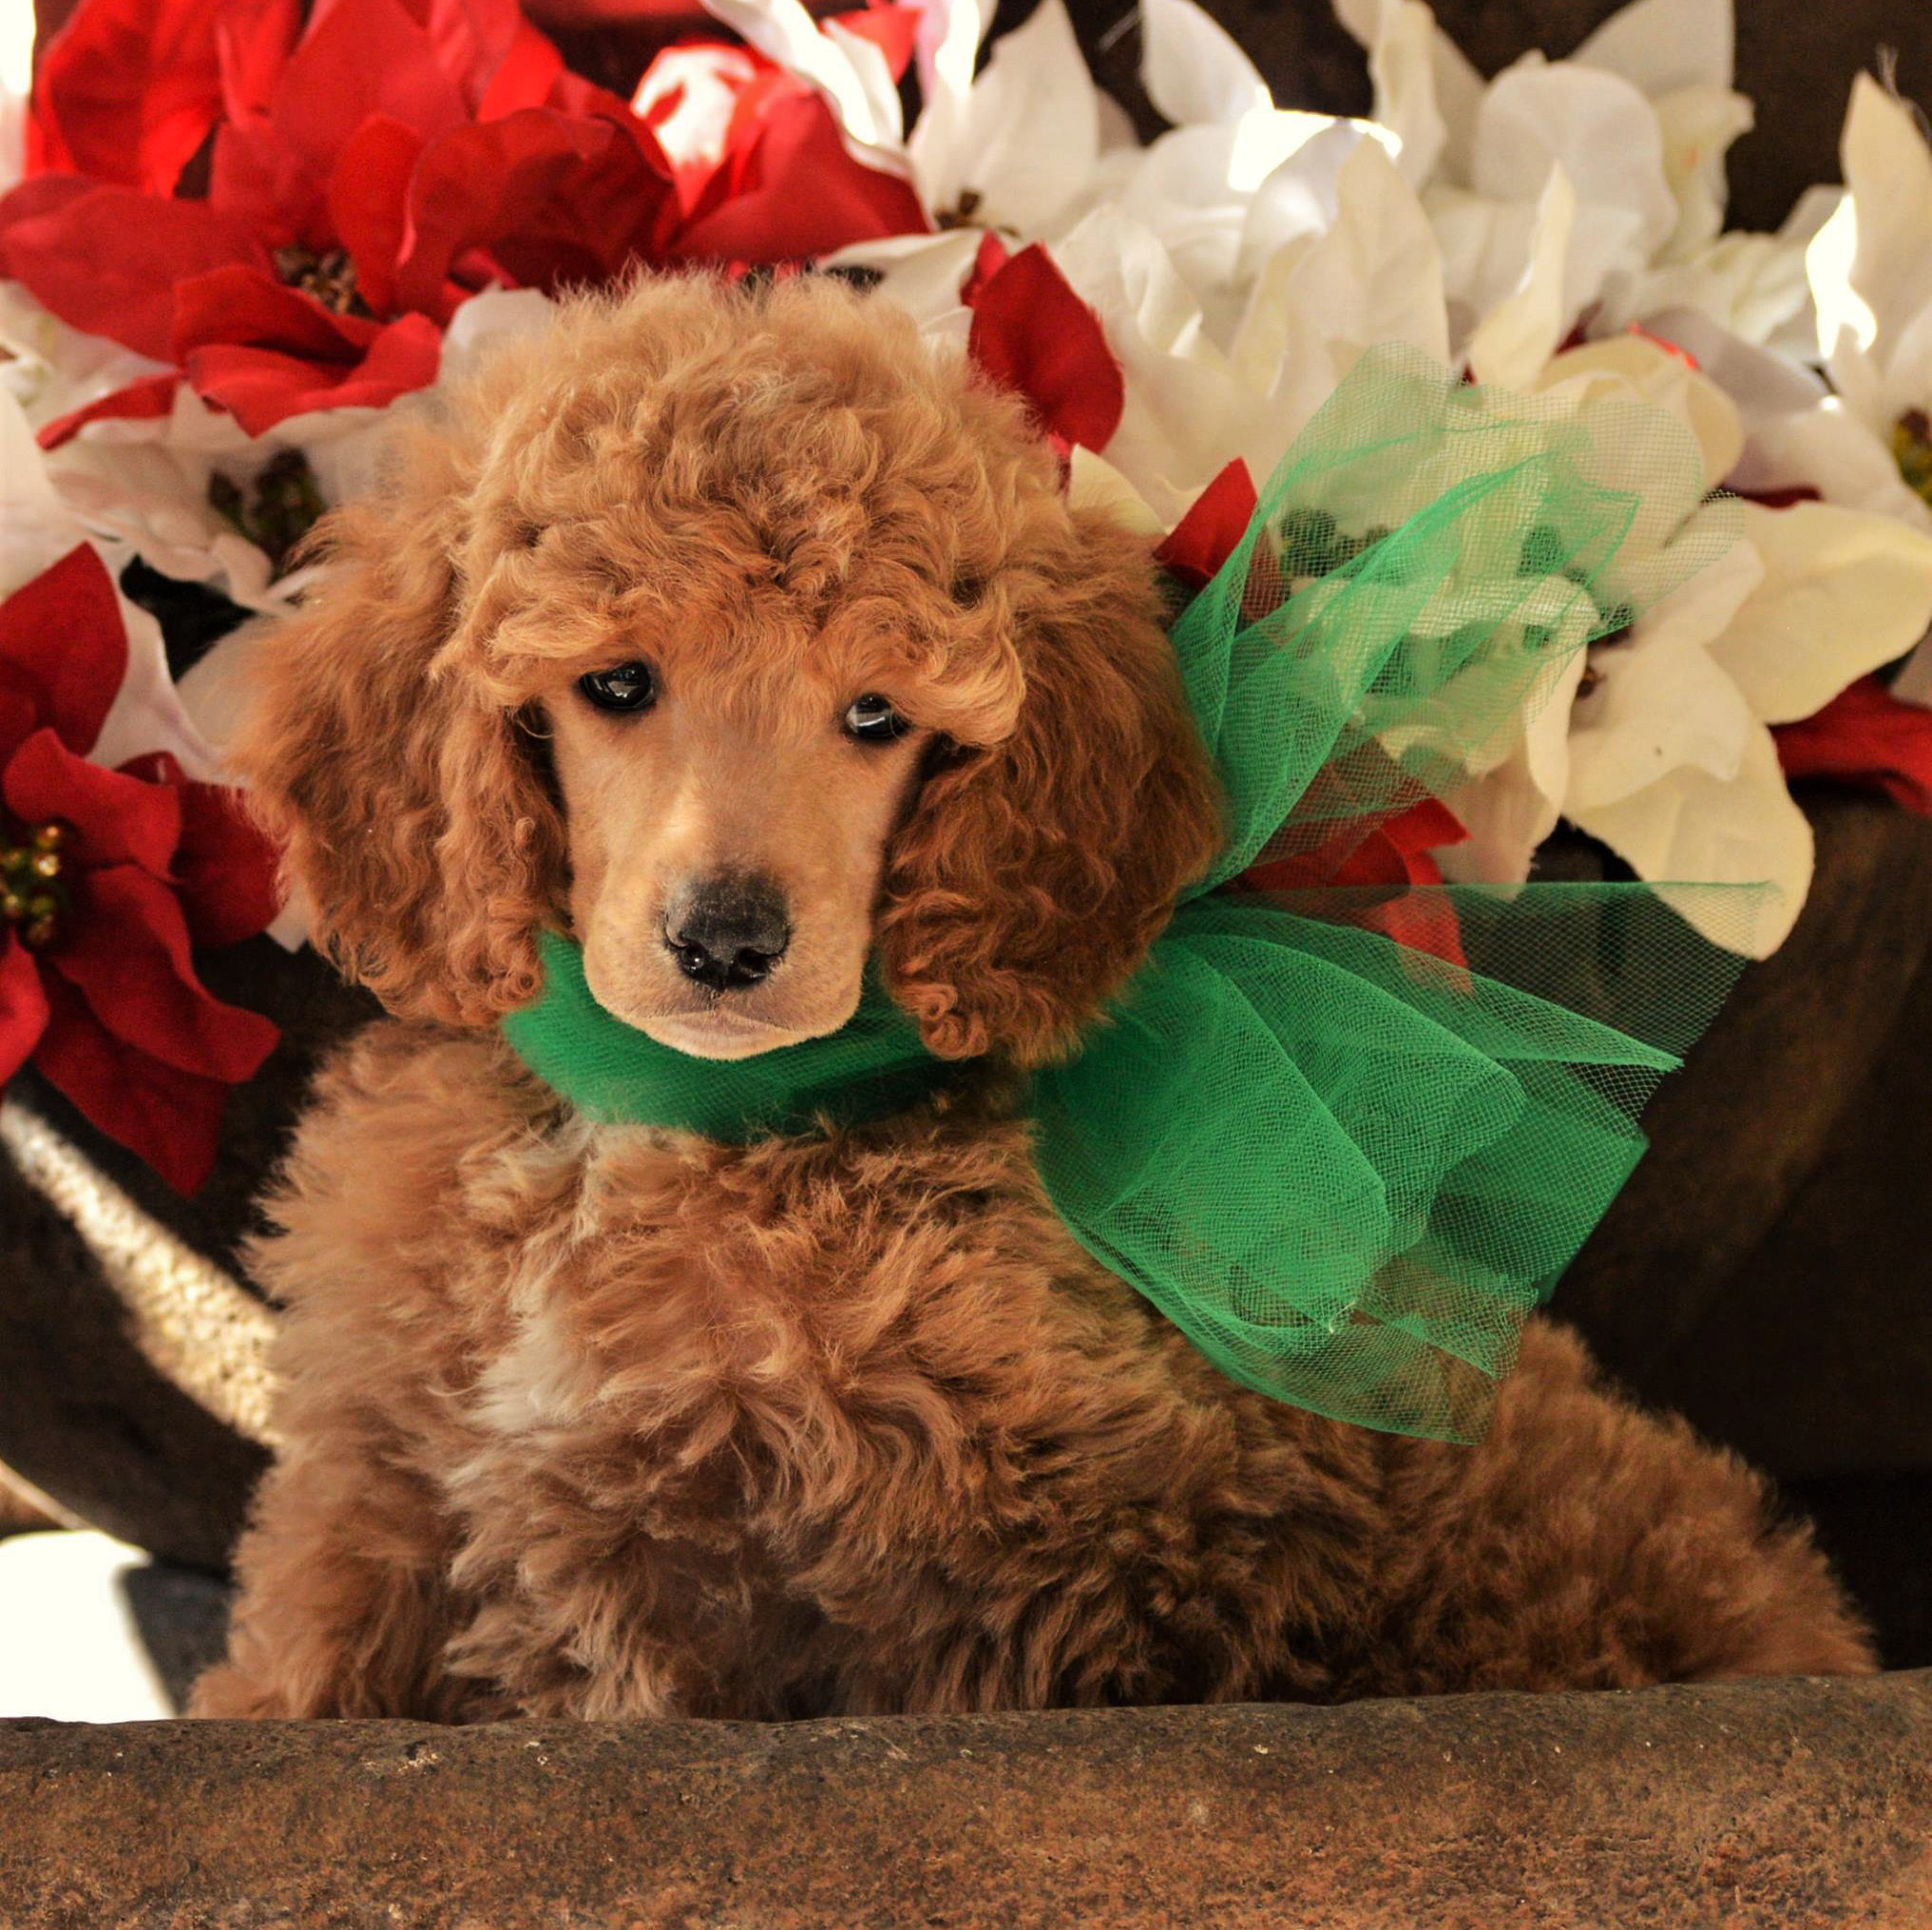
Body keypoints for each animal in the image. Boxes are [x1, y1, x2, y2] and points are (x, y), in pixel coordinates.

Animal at [192, 272, 1869, 1723]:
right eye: (614, 685)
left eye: (877, 717)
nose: (726, 941)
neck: (665, 1122)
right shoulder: (380, 1482)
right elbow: (300, 1660)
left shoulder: (983, 1557)